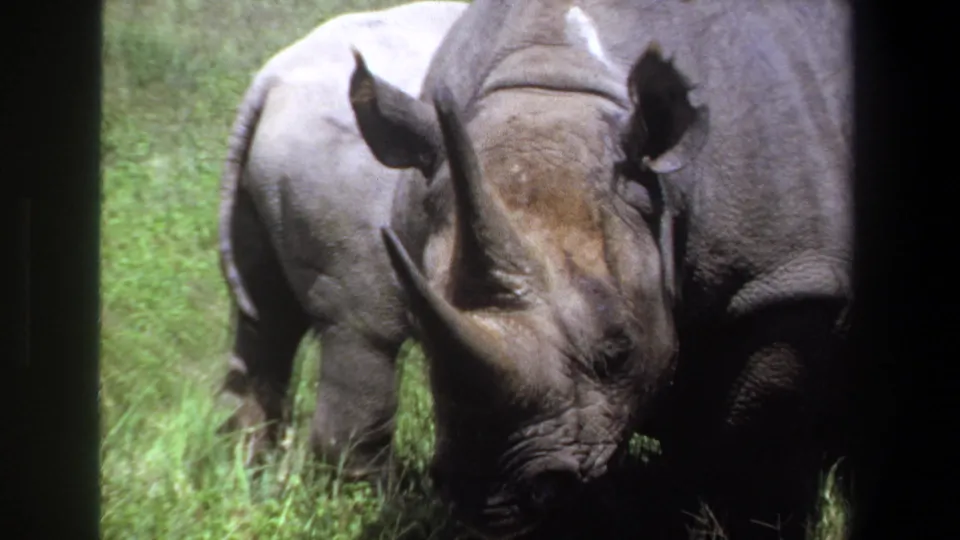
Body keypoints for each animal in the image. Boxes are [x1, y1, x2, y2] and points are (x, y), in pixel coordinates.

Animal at [215, 1, 466, 478]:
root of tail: (269, 82)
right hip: (344, 197)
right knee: (363, 337)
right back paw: (381, 490)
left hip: (258, 196)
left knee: (264, 325)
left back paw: (249, 474)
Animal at [349, 0, 853, 537]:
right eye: (422, 340)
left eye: (618, 350)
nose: (490, 502)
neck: (556, 81)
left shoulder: (783, 280)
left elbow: (754, 434)